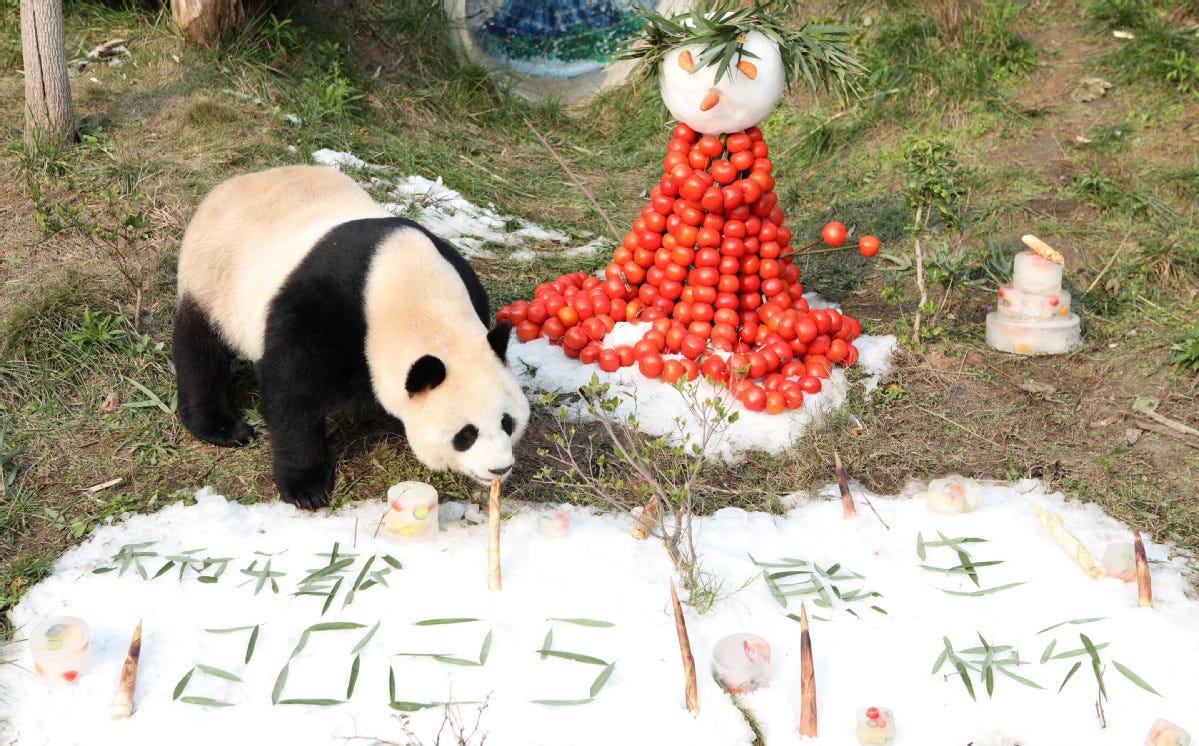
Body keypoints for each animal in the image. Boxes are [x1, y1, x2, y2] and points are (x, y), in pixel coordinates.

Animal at [173, 165, 529, 510]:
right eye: (466, 434)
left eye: (507, 422)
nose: (499, 468)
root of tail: (235, 182)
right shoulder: (318, 311)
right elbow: (292, 396)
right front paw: (307, 487)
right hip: (213, 277)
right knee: (200, 350)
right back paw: (222, 427)